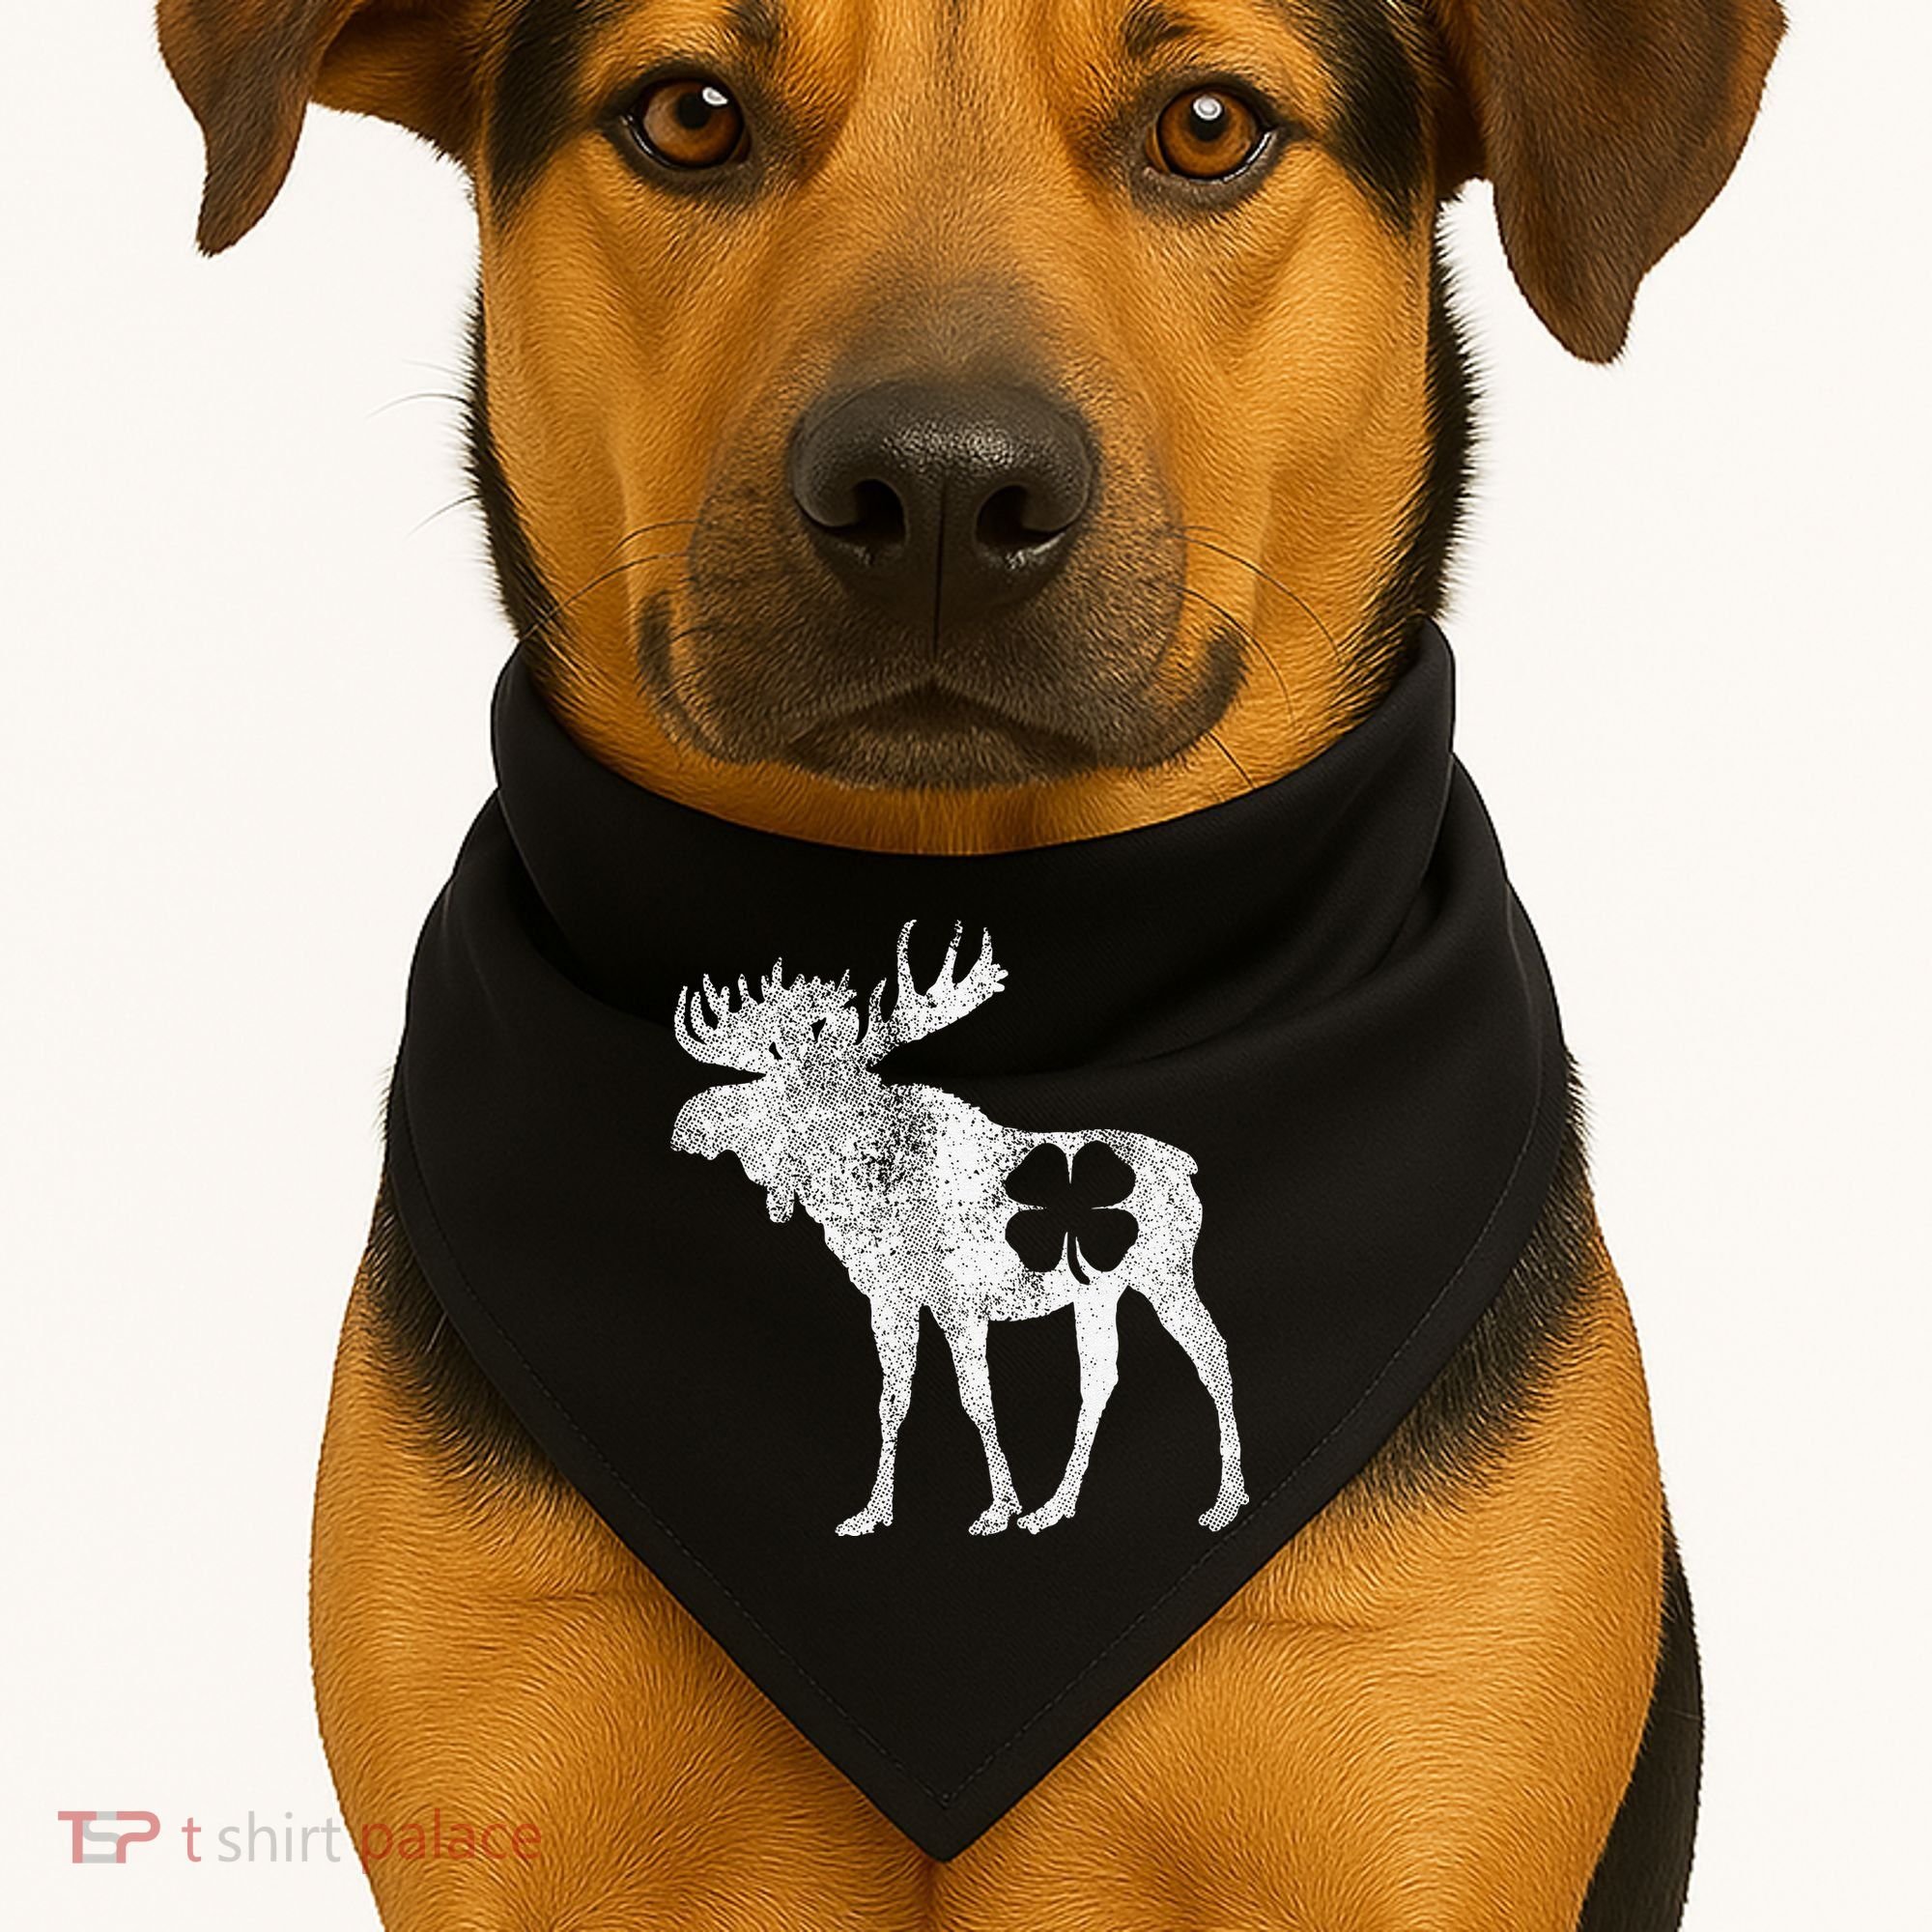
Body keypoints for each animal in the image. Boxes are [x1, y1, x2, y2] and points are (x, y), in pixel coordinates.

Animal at [671, 921, 1247, 1538]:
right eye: (760, 1073)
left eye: (787, 1094)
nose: (686, 1122)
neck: (870, 1198)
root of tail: (1187, 1165)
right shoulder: (888, 1301)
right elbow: (891, 1401)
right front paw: (873, 1512)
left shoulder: (960, 1304)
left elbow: (977, 1400)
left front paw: (998, 1508)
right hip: (1099, 1292)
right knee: (1100, 1378)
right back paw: (1055, 1506)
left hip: (1165, 1274)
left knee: (1213, 1354)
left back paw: (1225, 1500)